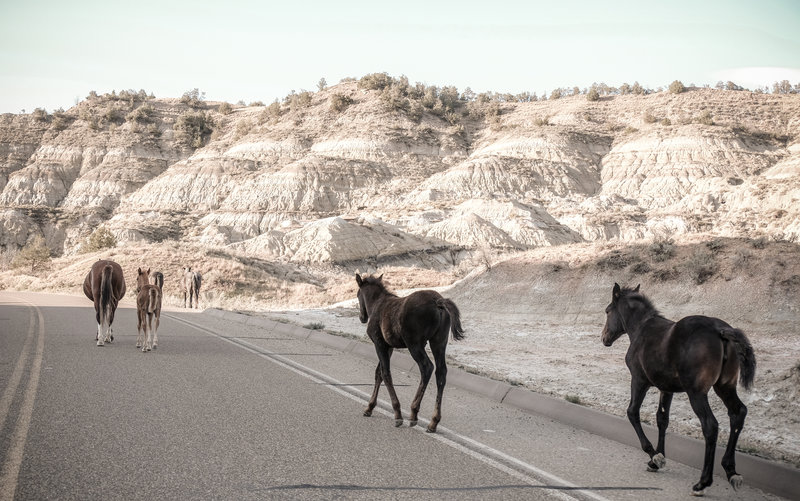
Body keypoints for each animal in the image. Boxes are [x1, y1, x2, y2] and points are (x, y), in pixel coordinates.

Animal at [354, 272, 466, 432]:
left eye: (358, 294)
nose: (362, 317)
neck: (375, 304)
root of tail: (438, 302)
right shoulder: (389, 346)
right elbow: (378, 374)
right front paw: (369, 407)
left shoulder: (379, 343)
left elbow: (385, 374)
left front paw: (397, 413)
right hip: (439, 341)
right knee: (441, 372)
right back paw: (433, 421)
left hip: (414, 344)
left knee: (427, 367)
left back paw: (413, 413)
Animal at [600, 284, 756, 494]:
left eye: (608, 311)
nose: (604, 337)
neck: (641, 329)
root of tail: (721, 330)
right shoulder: (667, 389)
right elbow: (662, 419)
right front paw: (656, 461)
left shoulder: (639, 380)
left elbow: (632, 412)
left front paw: (655, 456)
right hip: (725, 387)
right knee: (738, 413)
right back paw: (731, 472)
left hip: (697, 393)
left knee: (710, 425)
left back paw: (703, 482)